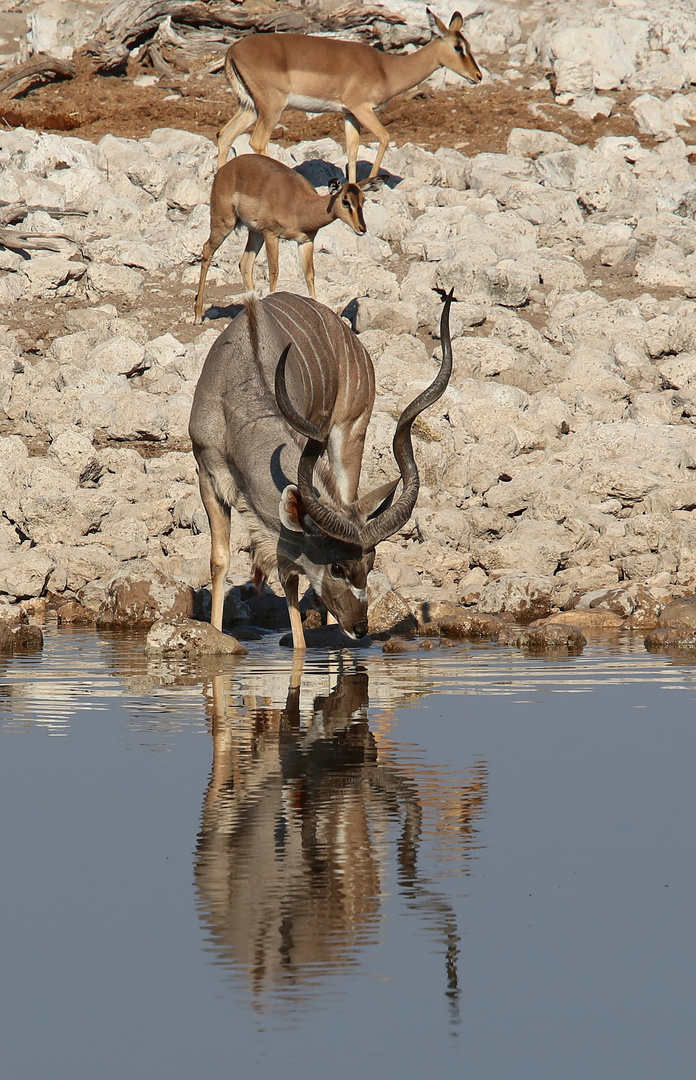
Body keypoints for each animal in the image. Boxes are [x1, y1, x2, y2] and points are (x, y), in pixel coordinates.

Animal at [188, 287, 453, 648]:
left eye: (370, 564)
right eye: (337, 567)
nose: (360, 627)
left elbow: (289, 576)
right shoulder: (207, 474)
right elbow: (220, 561)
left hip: (350, 437)